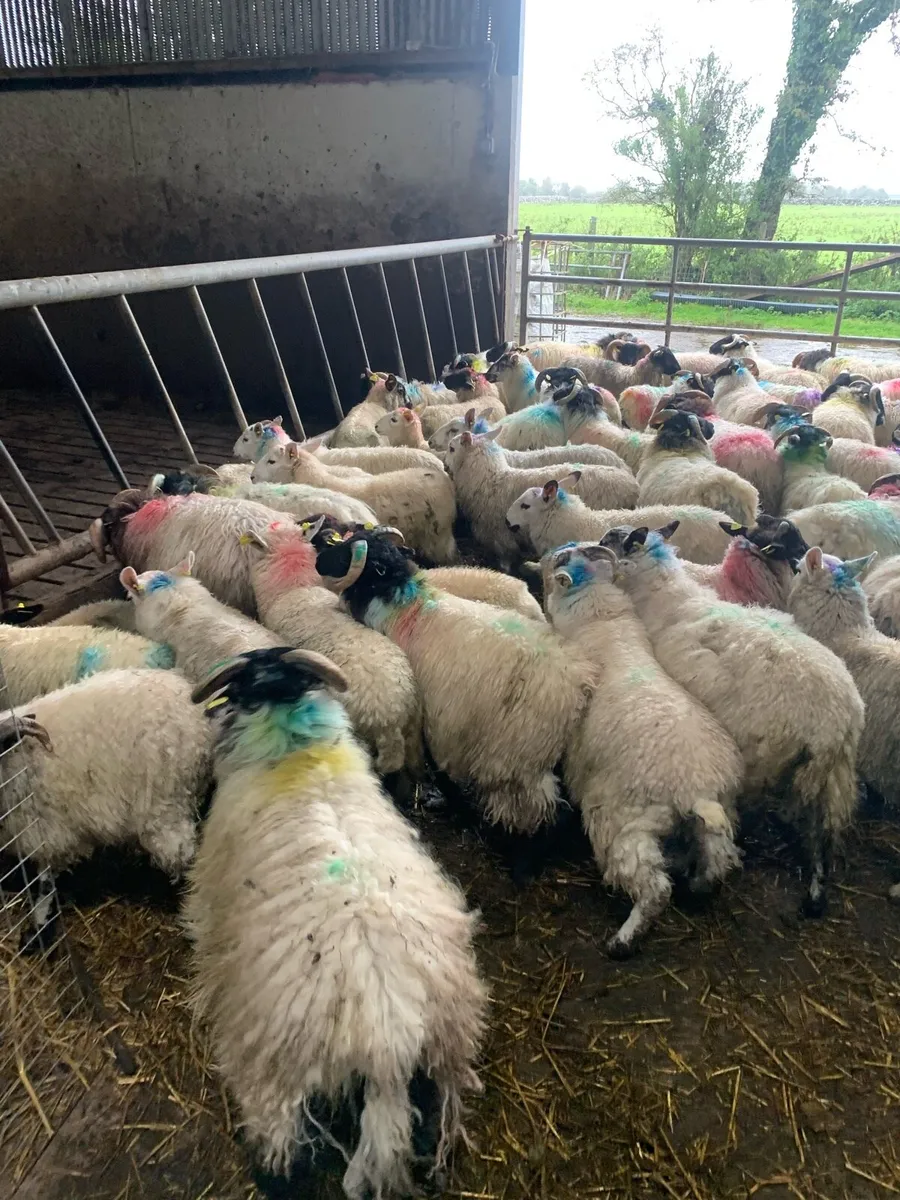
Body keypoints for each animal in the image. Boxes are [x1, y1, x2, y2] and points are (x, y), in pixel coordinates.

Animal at [314, 529, 593, 834]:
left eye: (345, 553)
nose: (317, 560)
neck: (402, 604)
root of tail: (580, 686)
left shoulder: (427, 714)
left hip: (517, 760)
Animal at [445, 427, 638, 568]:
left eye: (452, 448)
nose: (445, 465)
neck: (489, 479)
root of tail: (632, 482)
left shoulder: (501, 538)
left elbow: (506, 564)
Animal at [543, 542, 742, 956]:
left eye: (561, 560)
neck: (600, 619)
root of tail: (696, 789)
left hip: (625, 822)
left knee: (653, 888)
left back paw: (623, 939)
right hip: (720, 813)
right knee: (719, 860)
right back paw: (698, 885)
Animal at [595, 522, 864, 915]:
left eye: (608, 541)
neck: (663, 597)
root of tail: (836, 720)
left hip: (765, 757)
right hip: (834, 775)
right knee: (824, 830)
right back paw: (815, 893)